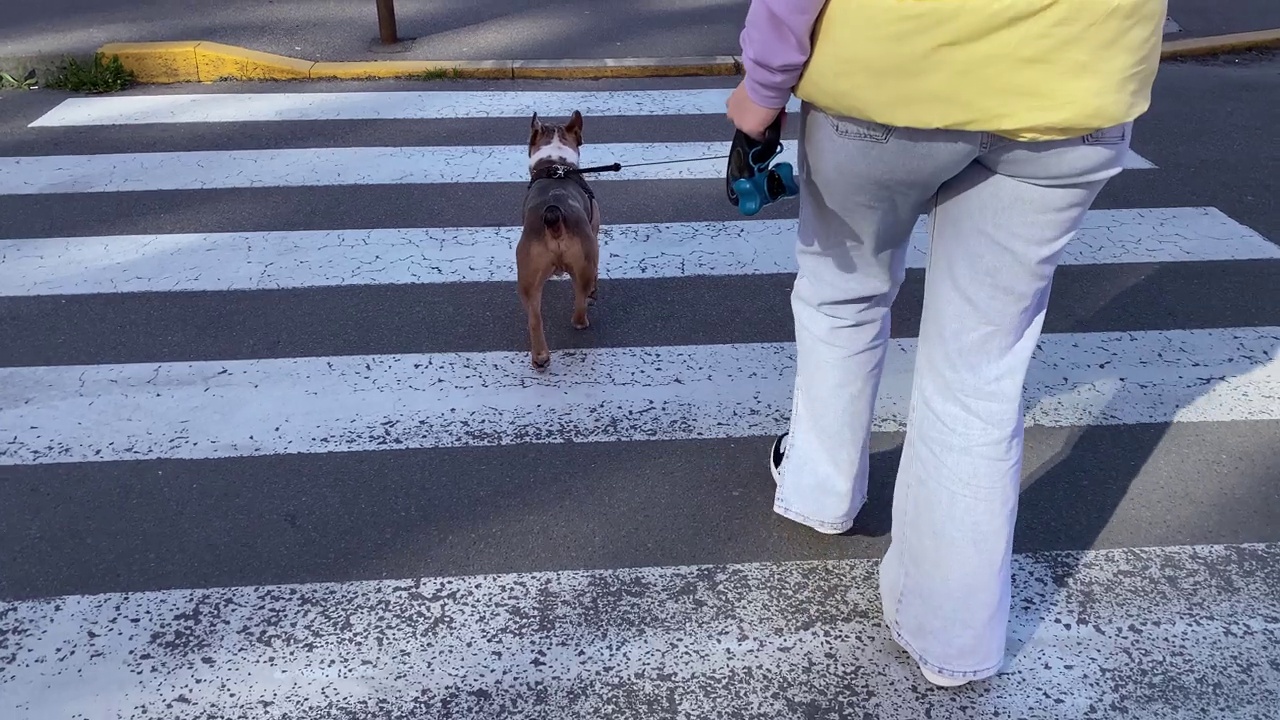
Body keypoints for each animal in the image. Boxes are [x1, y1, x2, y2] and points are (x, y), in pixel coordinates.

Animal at [514, 112, 599, 368]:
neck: (554, 164)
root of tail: (554, 218)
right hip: (585, 262)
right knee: (580, 303)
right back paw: (583, 319)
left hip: (528, 275)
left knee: (534, 318)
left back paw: (540, 358)